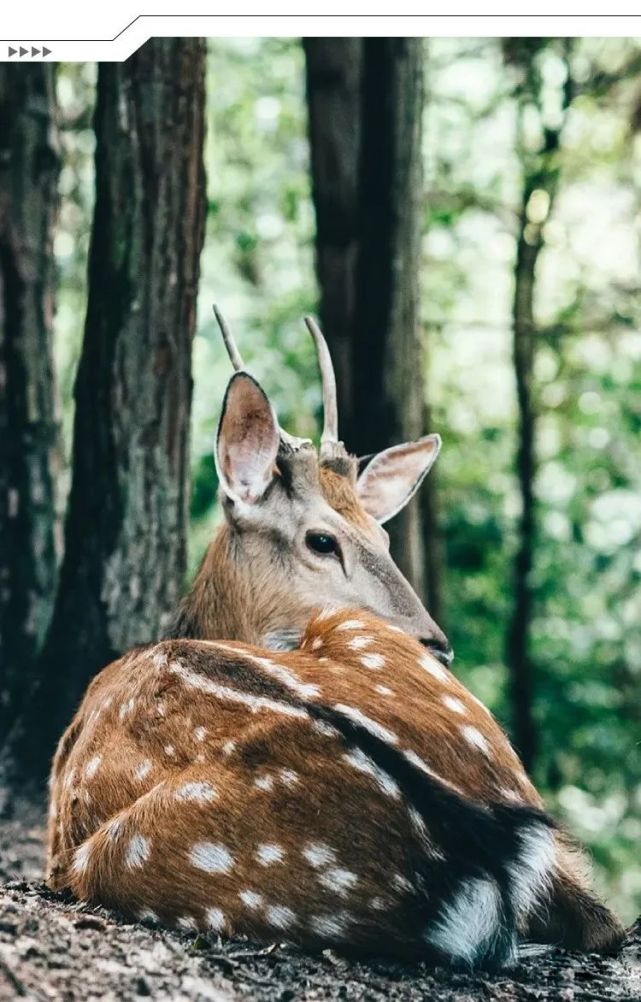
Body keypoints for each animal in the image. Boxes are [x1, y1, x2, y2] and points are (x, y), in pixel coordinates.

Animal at [46, 310, 624, 969]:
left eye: (385, 536)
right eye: (322, 540)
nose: (438, 645)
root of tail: (479, 848)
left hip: (123, 854)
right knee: (598, 915)